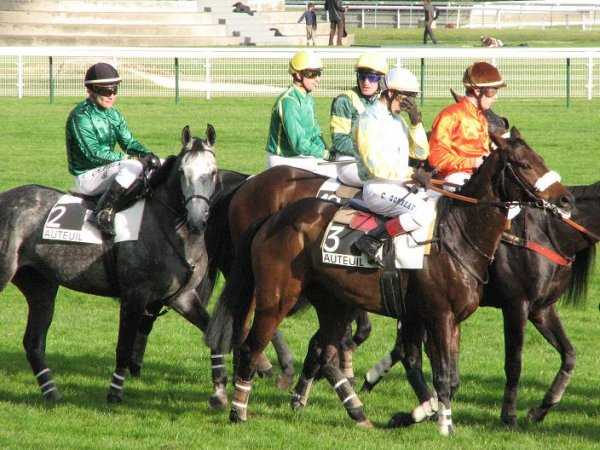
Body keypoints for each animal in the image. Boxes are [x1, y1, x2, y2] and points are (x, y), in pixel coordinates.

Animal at [0, 124, 218, 404]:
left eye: (212, 172)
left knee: (33, 342)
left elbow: (214, 333)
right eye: (182, 172)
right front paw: (114, 392)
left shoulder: (182, 296)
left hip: (41, 286)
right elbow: (124, 346)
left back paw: (51, 392)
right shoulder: (134, 295)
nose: (197, 219)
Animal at [358, 181, 596, 428]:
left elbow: (569, 355)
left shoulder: (542, 308)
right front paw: (508, 415)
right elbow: (514, 363)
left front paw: (541, 409)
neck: (548, 233)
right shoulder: (516, 305)